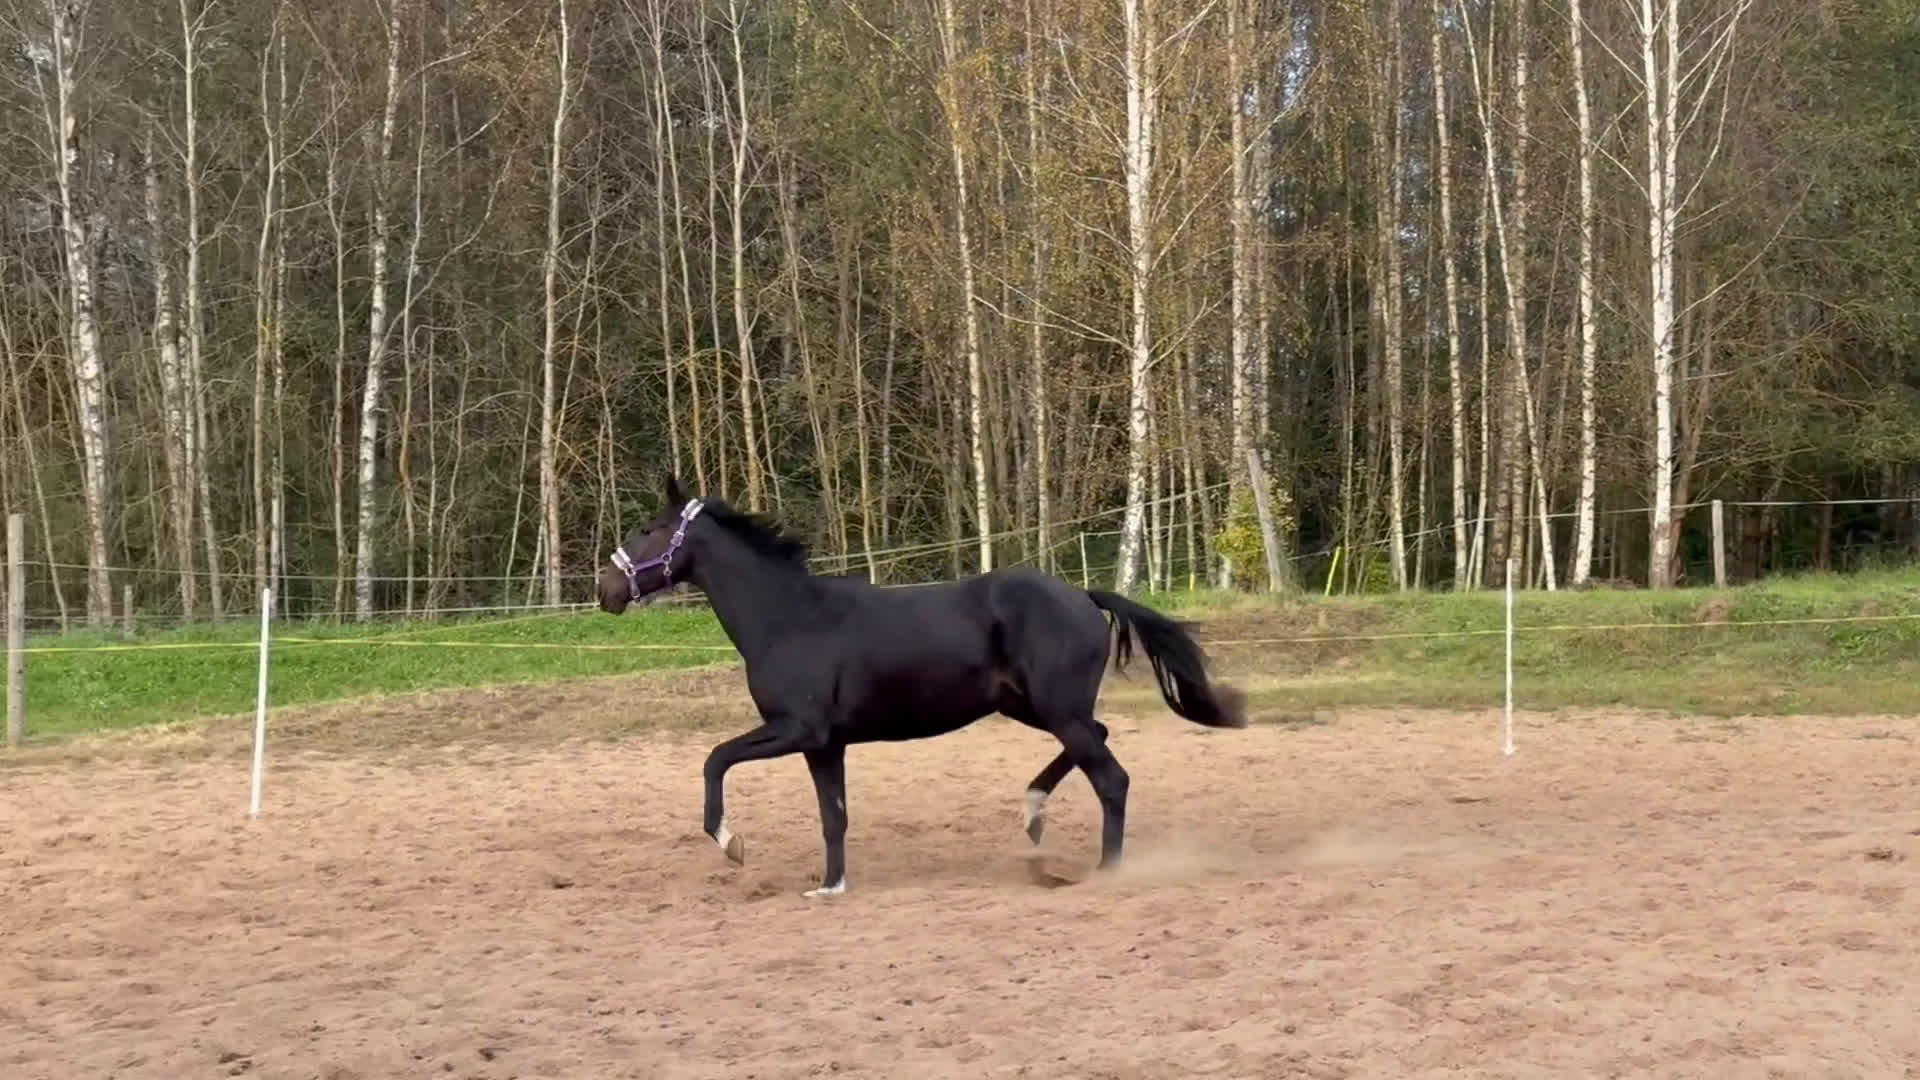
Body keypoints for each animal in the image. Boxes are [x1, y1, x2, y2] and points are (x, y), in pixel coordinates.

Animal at [596, 474, 1249, 897]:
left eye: (649, 528)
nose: (607, 589)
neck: (789, 618)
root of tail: (1083, 597)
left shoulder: (796, 729)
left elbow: (715, 759)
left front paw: (729, 842)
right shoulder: (824, 745)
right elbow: (833, 816)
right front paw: (830, 886)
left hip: (1056, 710)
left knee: (1112, 779)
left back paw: (1105, 871)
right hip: (1034, 707)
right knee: (1101, 739)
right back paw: (1033, 813)